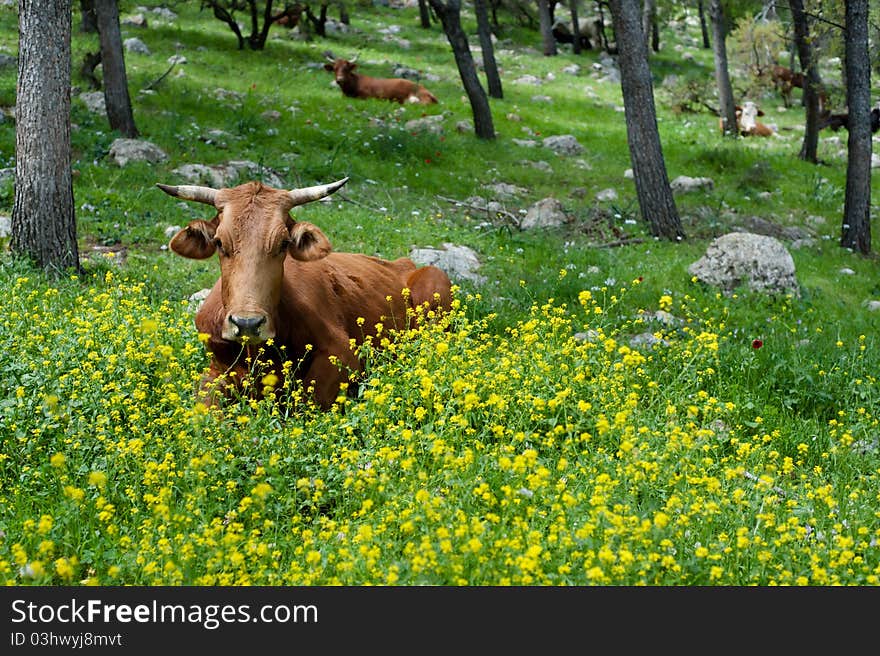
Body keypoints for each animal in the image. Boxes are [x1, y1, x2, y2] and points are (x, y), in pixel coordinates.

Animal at [156, 176, 454, 410]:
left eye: (283, 243)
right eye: (219, 242)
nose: (247, 323)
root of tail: (403, 263)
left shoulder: (342, 353)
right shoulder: (214, 369)